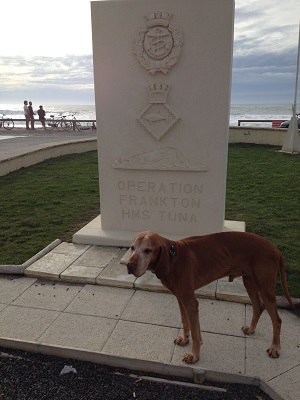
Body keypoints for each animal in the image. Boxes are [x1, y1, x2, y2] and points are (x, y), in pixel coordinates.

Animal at [126, 230, 292, 364]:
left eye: (148, 250)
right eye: (132, 247)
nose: (129, 265)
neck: (173, 258)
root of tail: (275, 248)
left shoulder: (191, 302)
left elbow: (195, 331)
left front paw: (194, 355)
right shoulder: (181, 298)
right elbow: (186, 323)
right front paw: (185, 339)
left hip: (265, 288)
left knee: (277, 320)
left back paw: (275, 347)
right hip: (249, 281)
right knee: (258, 306)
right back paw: (251, 329)